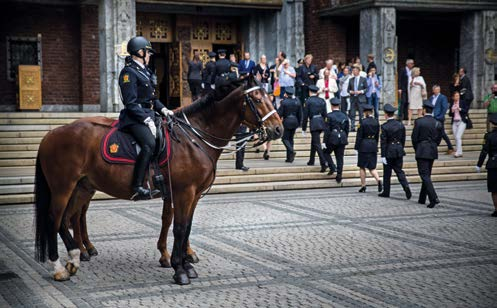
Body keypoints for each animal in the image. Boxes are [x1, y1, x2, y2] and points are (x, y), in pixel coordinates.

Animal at [34, 76, 282, 284]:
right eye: (257, 100)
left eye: (270, 97)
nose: (278, 129)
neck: (194, 137)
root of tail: (51, 134)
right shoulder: (184, 192)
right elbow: (179, 228)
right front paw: (179, 269)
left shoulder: (191, 195)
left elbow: (184, 226)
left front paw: (182, 262)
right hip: (62, 188)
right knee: (54, 219)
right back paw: (60, 267)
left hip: (82, 187)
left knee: (67, 219)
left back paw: (75, 257)